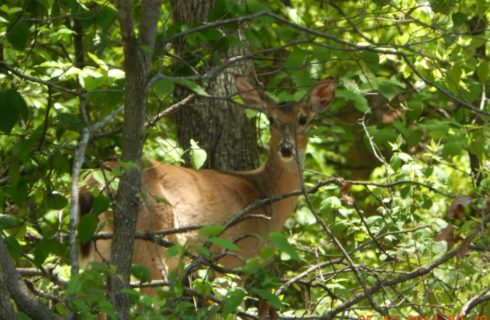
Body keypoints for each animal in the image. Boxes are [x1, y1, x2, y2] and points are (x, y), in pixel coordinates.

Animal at [78, 75, 334, 318]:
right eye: (271, 120)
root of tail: (95, 182)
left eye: (303, 119)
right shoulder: (236, 254)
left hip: (100, 254)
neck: (266, 197)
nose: (286, 148)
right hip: (155, 242)